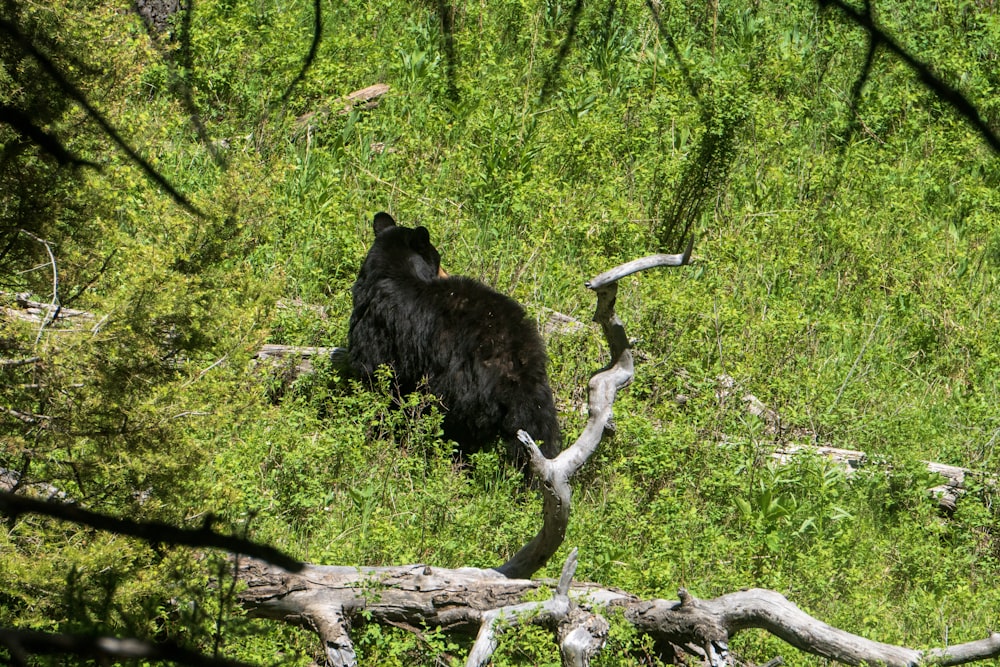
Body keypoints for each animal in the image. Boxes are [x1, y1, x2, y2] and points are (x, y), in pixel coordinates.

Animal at [348, 214, 560, 464]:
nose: (445, 273)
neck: (390, 272)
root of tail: (515, 365)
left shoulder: (378, 330)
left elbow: (375, 376)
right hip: (539, 394)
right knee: (542, 431)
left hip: (460, 390)